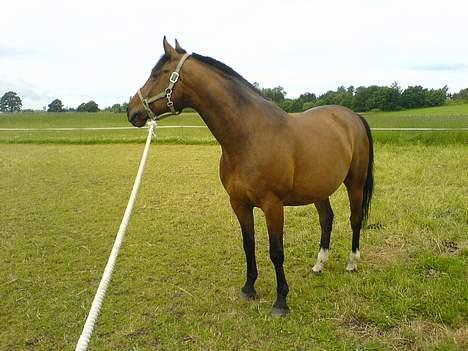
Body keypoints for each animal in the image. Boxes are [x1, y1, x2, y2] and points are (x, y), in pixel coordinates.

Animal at [126, 37, 374, 318]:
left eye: (157, 73)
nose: (131, 111)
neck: (248, 136)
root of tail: (352, 116)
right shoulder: (239, 203)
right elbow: (248, 244)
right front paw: (249, 288)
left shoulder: (273, 205)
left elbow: (276, 252)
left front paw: (281, 301)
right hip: (318, 189)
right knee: (326, 220)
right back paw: (319, 265)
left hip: (355, 183)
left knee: (355, 219)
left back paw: (352, 263)